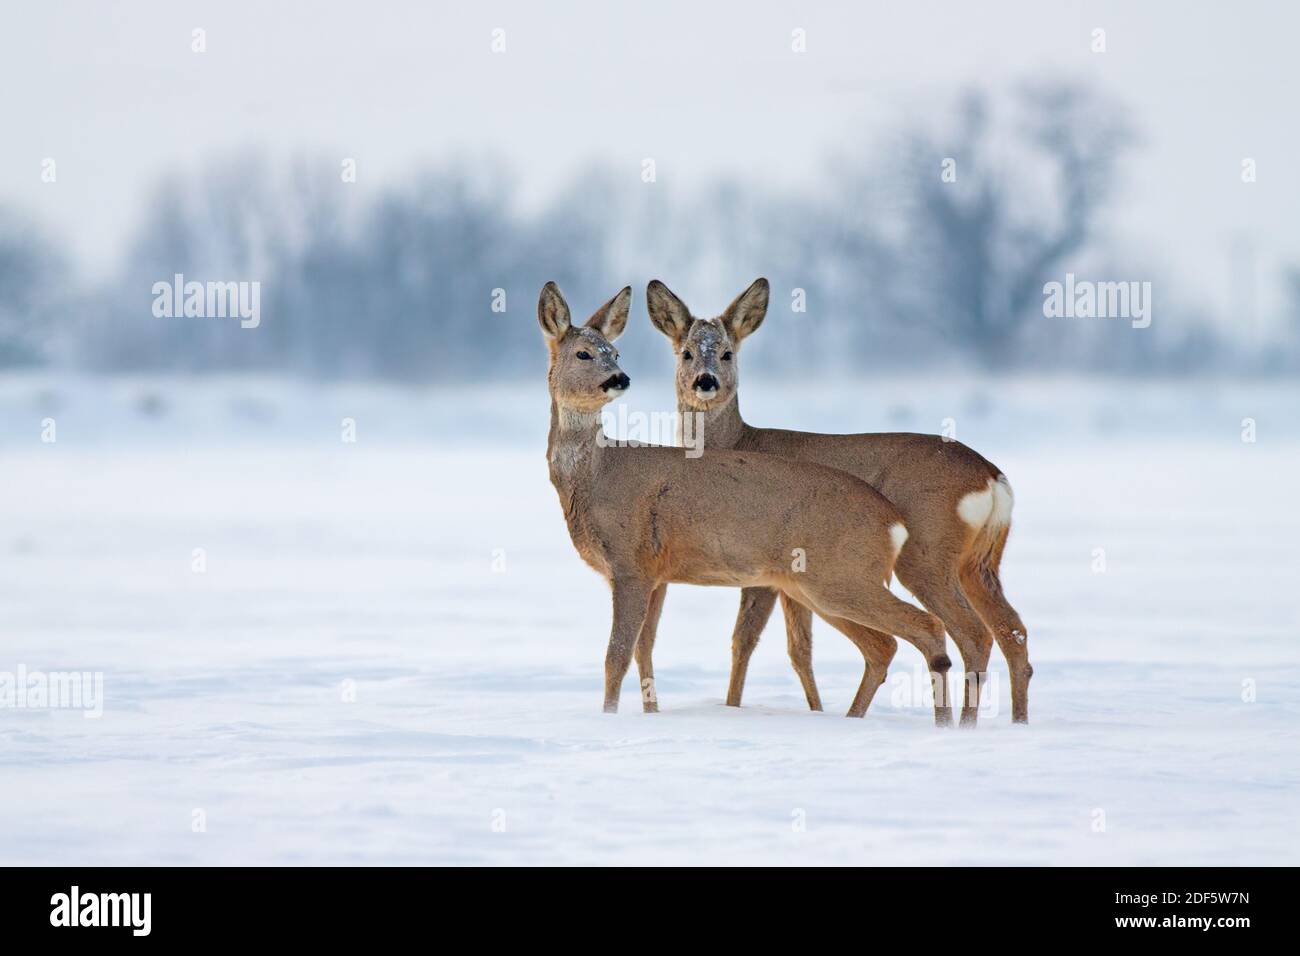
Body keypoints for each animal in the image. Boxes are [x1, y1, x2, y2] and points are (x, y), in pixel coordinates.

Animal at [538, 280, 956, 723]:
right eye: (584, 353)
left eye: (614, 353)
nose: (620, 378)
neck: (597, 475)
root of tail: (893, 520)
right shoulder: (656, 574)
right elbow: (643, 651)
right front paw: (650, 715)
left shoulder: (631, 564)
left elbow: (615, 656)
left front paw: (609, 718)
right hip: (816, 585)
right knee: (883, 645)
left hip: (841, 575)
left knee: (926, 627)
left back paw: (943, 725)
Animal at [644, 277, 1029, 723]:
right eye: (686, 351)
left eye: (727, 352)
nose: (705, 381)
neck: (738, 441)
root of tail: (992, 477)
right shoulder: (788, 577)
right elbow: (799, 649)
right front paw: (814, 710)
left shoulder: (765, 571)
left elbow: (747, 640)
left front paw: (734, 707)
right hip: (980, 562)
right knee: (1013, 631)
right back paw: (1017, 721)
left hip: (926, 554)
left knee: (970, 632)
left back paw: (962, 723)